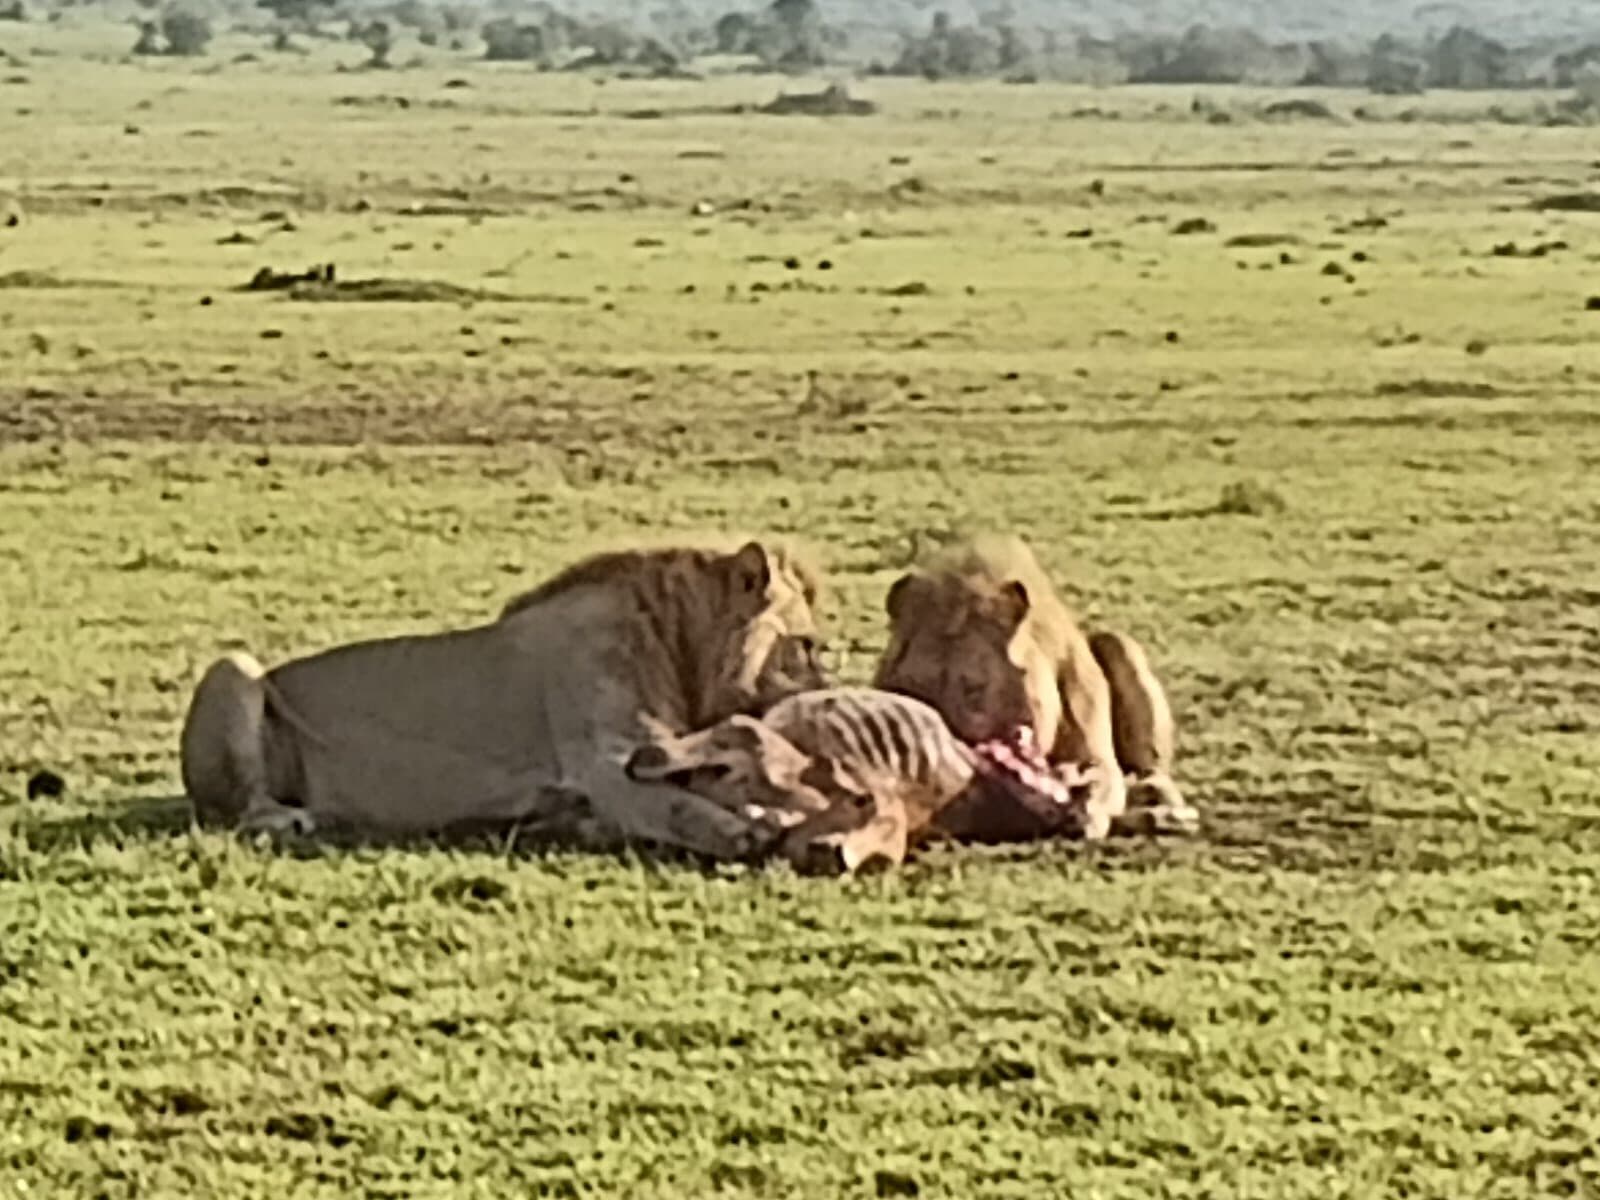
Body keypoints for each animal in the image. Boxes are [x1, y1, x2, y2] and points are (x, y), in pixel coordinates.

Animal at [177, 539, 828, 860]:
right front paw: (743, 832)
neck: (679, 644)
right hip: (234, 668)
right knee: (243, 808)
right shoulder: (604, 762)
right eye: (809, 645)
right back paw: (287, 818)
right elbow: (677, 806)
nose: (829, 688)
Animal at [871, 533, 1187, 840]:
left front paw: (1088, 809)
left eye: (974, 688)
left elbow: (1101, 778)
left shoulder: (1096, 752)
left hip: (1117, 643)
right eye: (915, 692)